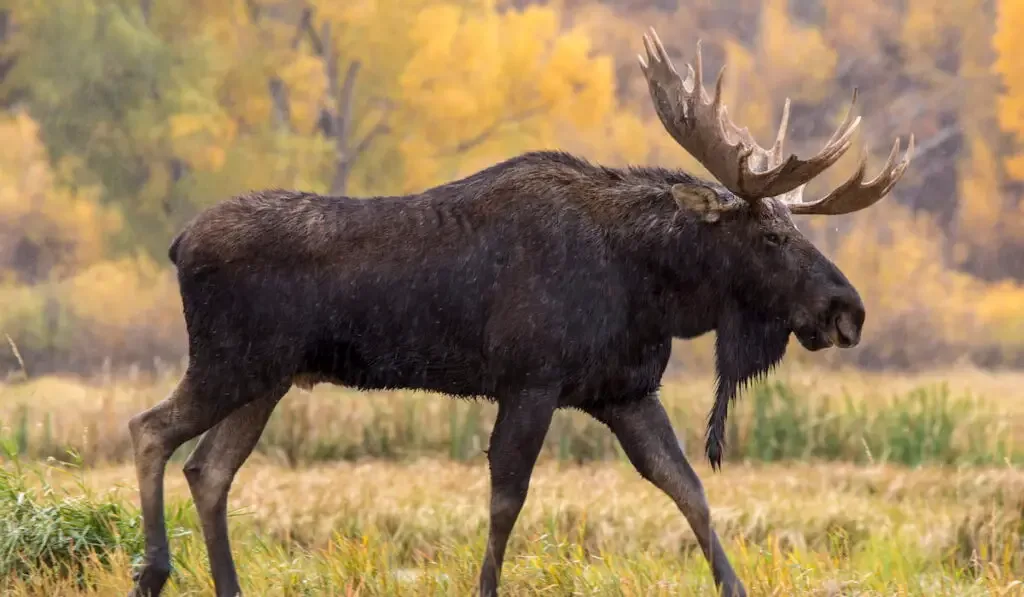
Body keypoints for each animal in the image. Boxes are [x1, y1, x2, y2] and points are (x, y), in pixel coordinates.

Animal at [125, 26, 913, 597]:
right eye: (773, 237)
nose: (849, 311)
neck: (653, 286)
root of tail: (177, 243)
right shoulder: (531, 382)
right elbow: (507, 501)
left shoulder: (625, 390)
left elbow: (690, 491)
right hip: (230, 362)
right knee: (150, 429)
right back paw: (153, 570)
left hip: (270, 379)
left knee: (209, 469)